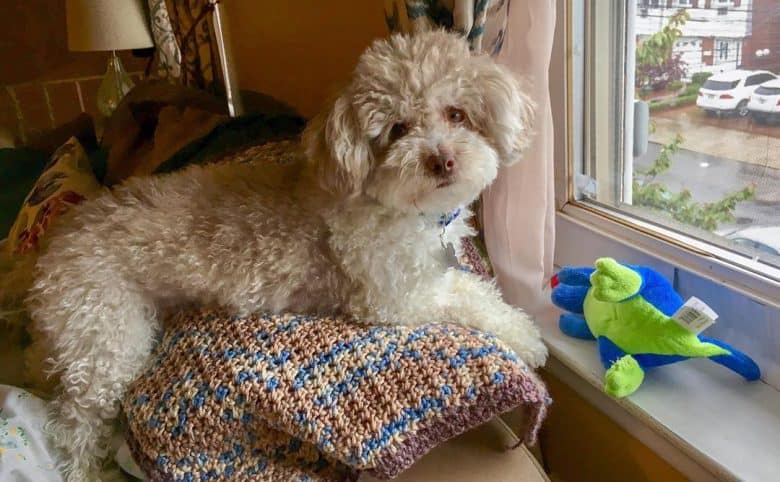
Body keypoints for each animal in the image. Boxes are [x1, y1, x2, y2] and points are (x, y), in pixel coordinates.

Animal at [27, 30, 544, 478]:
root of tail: (57, 244)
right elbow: (467, 299)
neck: (407, 211)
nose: (442, 160)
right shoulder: (394, 300)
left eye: (457, 114)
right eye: (397, 129)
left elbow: (474, 286)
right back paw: (85, 470)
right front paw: (526, 337)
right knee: (73, 424)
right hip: (105, 338)